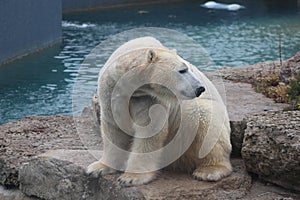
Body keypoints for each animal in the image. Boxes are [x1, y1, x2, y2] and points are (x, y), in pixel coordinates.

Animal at [86, 36, 232, 187]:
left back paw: (208, 171)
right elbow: (113, 129)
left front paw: (131, 177)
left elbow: (149, 132)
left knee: (206, 123)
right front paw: (97, 168)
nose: (200, 88)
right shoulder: (111, 92)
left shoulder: (151, 100)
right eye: (182, 70)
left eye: (187, 68)